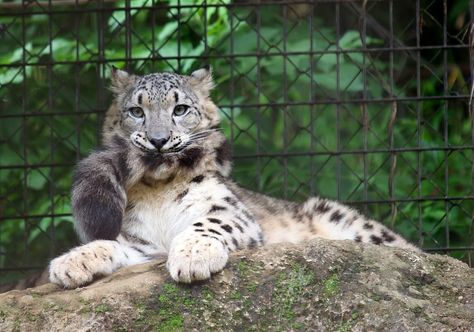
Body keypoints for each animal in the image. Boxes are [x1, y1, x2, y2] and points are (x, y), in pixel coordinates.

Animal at [49, 67, 418, 288]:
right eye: (136, 111)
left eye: (180, 109)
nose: (158, 140)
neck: (159, 190)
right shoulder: (143, 245)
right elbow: (112, 244)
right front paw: (71, 261)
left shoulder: (229, 211)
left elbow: (207, 224)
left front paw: (192, 257)